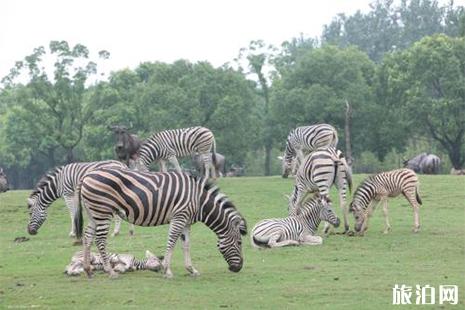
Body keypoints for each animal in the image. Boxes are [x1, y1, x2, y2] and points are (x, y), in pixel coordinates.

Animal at [71, 168, 246, 280]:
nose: (238, 269)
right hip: (102, 212)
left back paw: (88, 270)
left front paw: (191, 270)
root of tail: (86, 175)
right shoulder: (179, 217)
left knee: (87, 237)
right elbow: (171, 242)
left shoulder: (186, 222)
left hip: (93, 213)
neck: (199, 201)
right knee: (100, 240)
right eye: (239, 242)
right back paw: (110, 272)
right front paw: (167, 270)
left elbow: (186, 245)